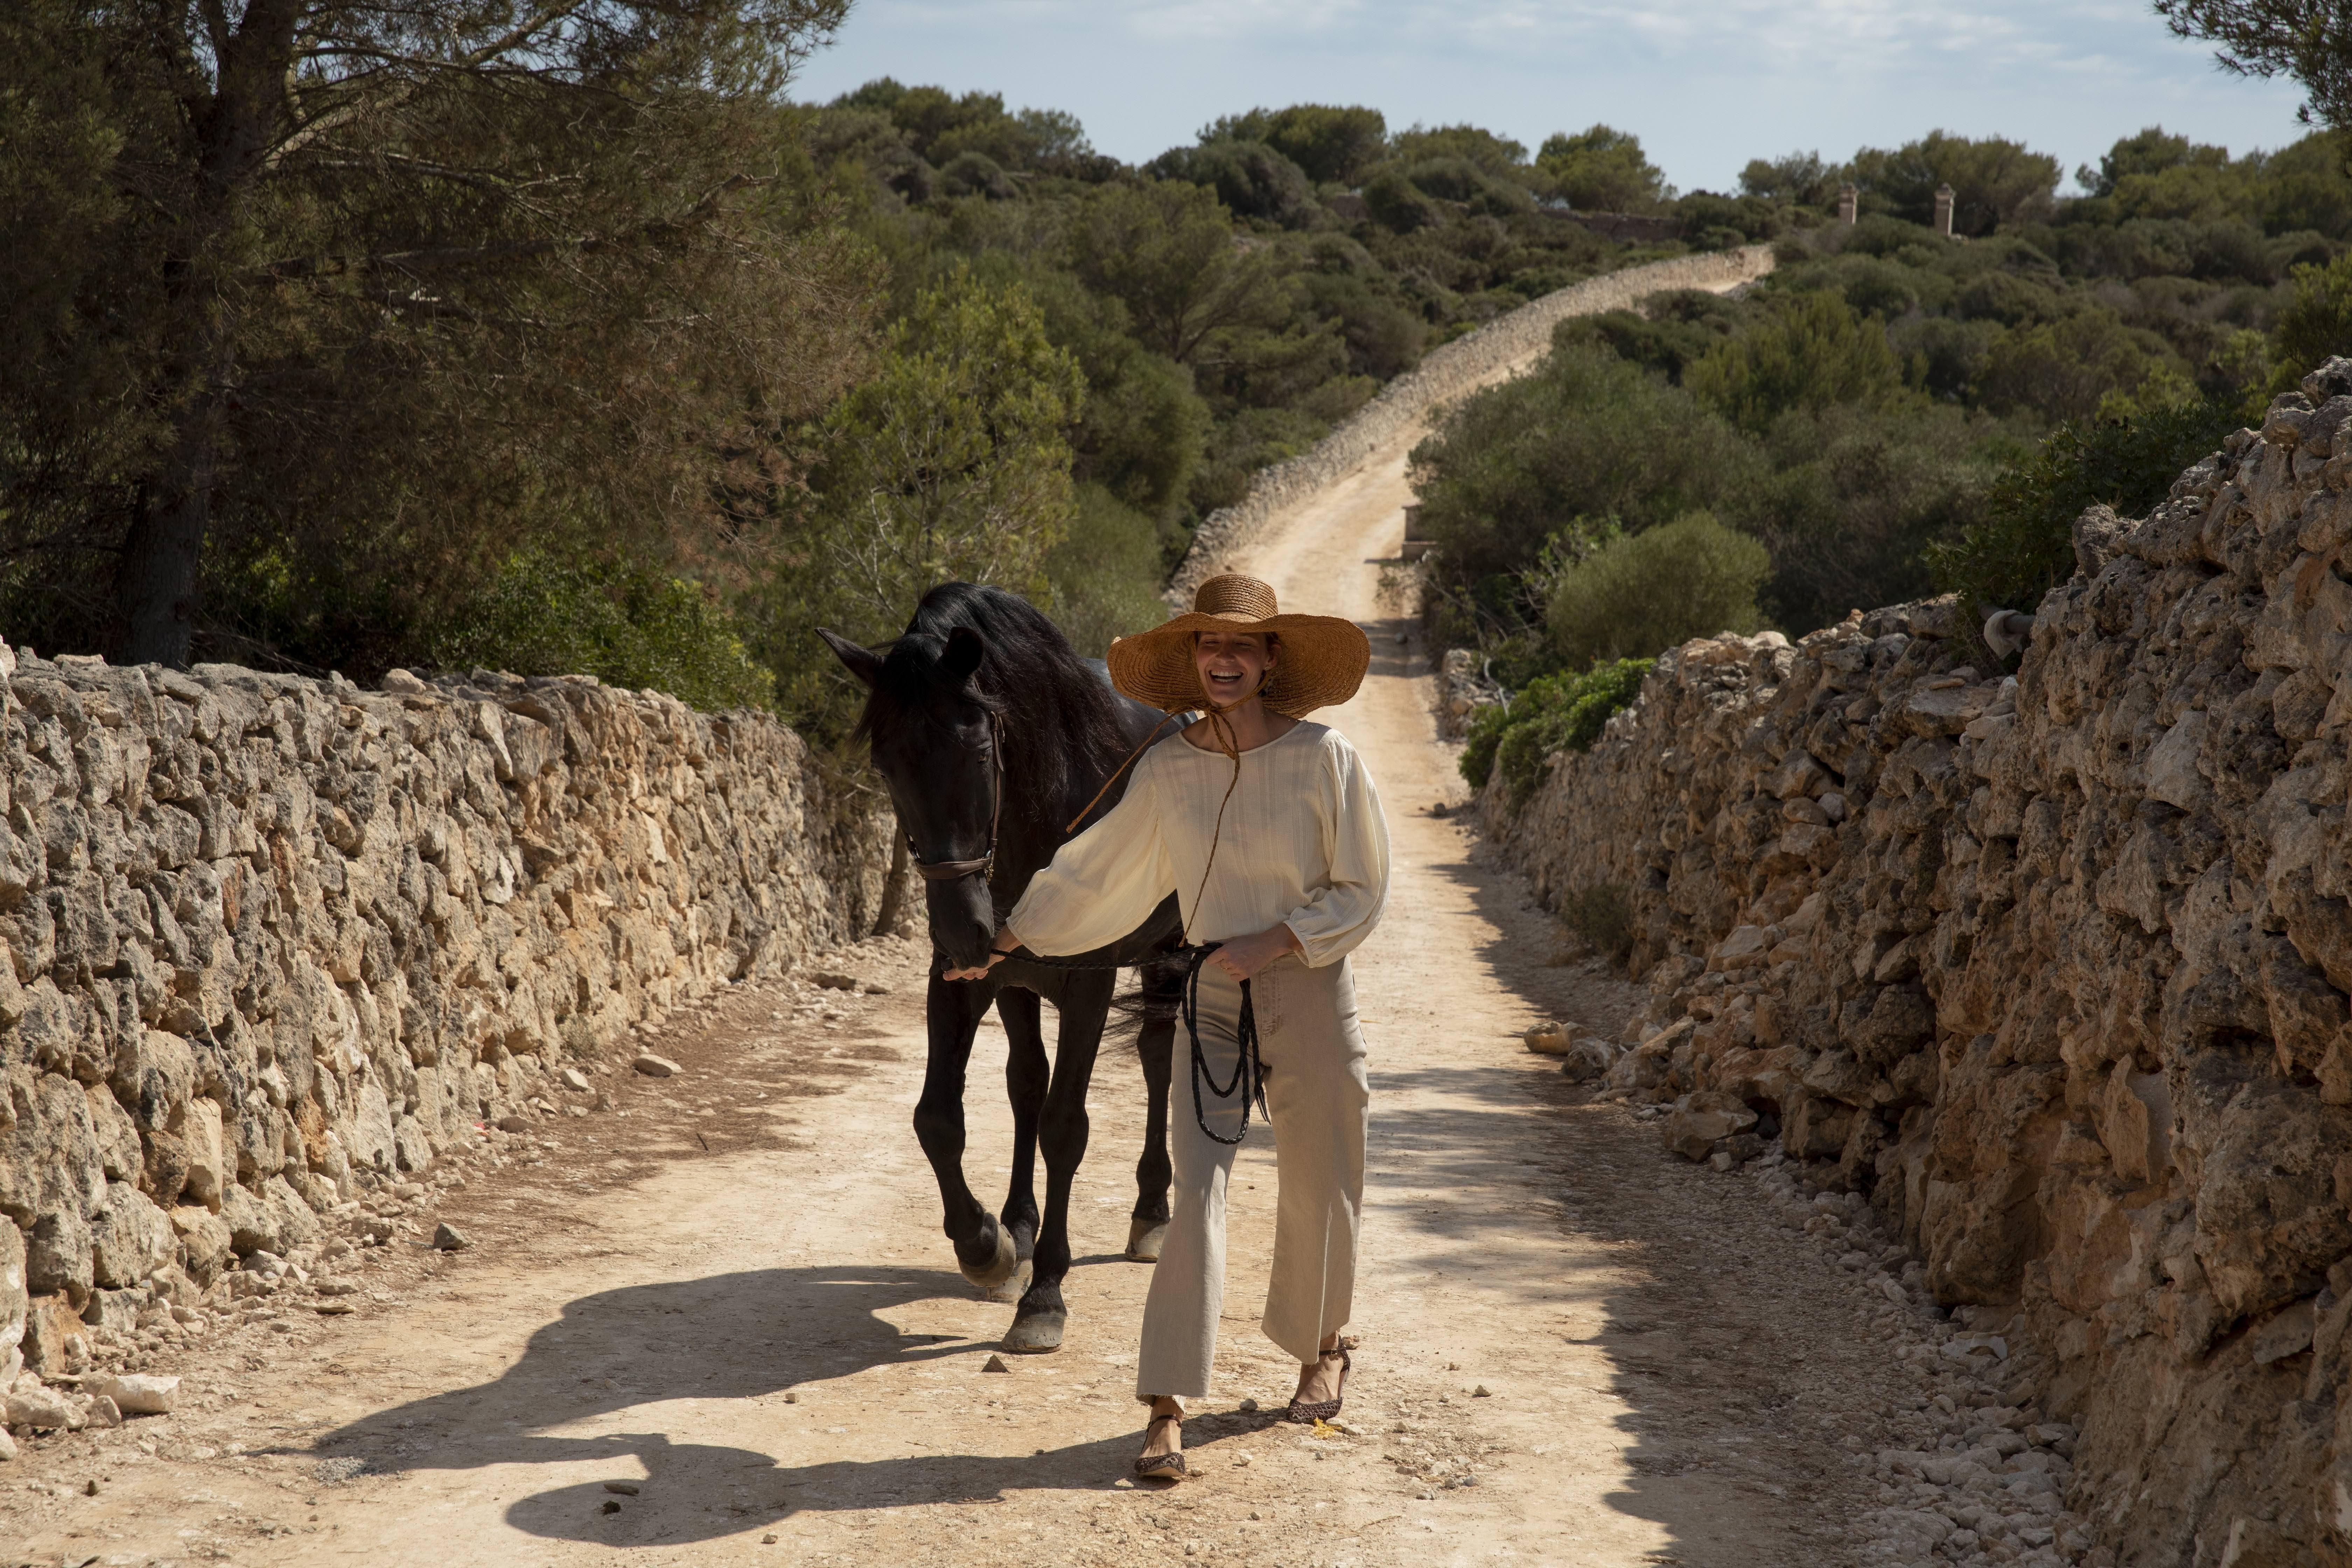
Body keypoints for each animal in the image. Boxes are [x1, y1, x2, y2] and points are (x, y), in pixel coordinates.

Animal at [828, 583, 1195, 1354]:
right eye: (886, 763)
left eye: (976, 751)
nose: (962, 926)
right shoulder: (962, 981)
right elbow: (940, 1117)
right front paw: (986, 1245)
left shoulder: (1089, 982)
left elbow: (1066, 1126)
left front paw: (1045, 1295)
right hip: (1017, 985)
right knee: (1026, 1082)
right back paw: (1020, 1225)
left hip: (1166, 953)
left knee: (1154, 1058)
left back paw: (1151, 1210)